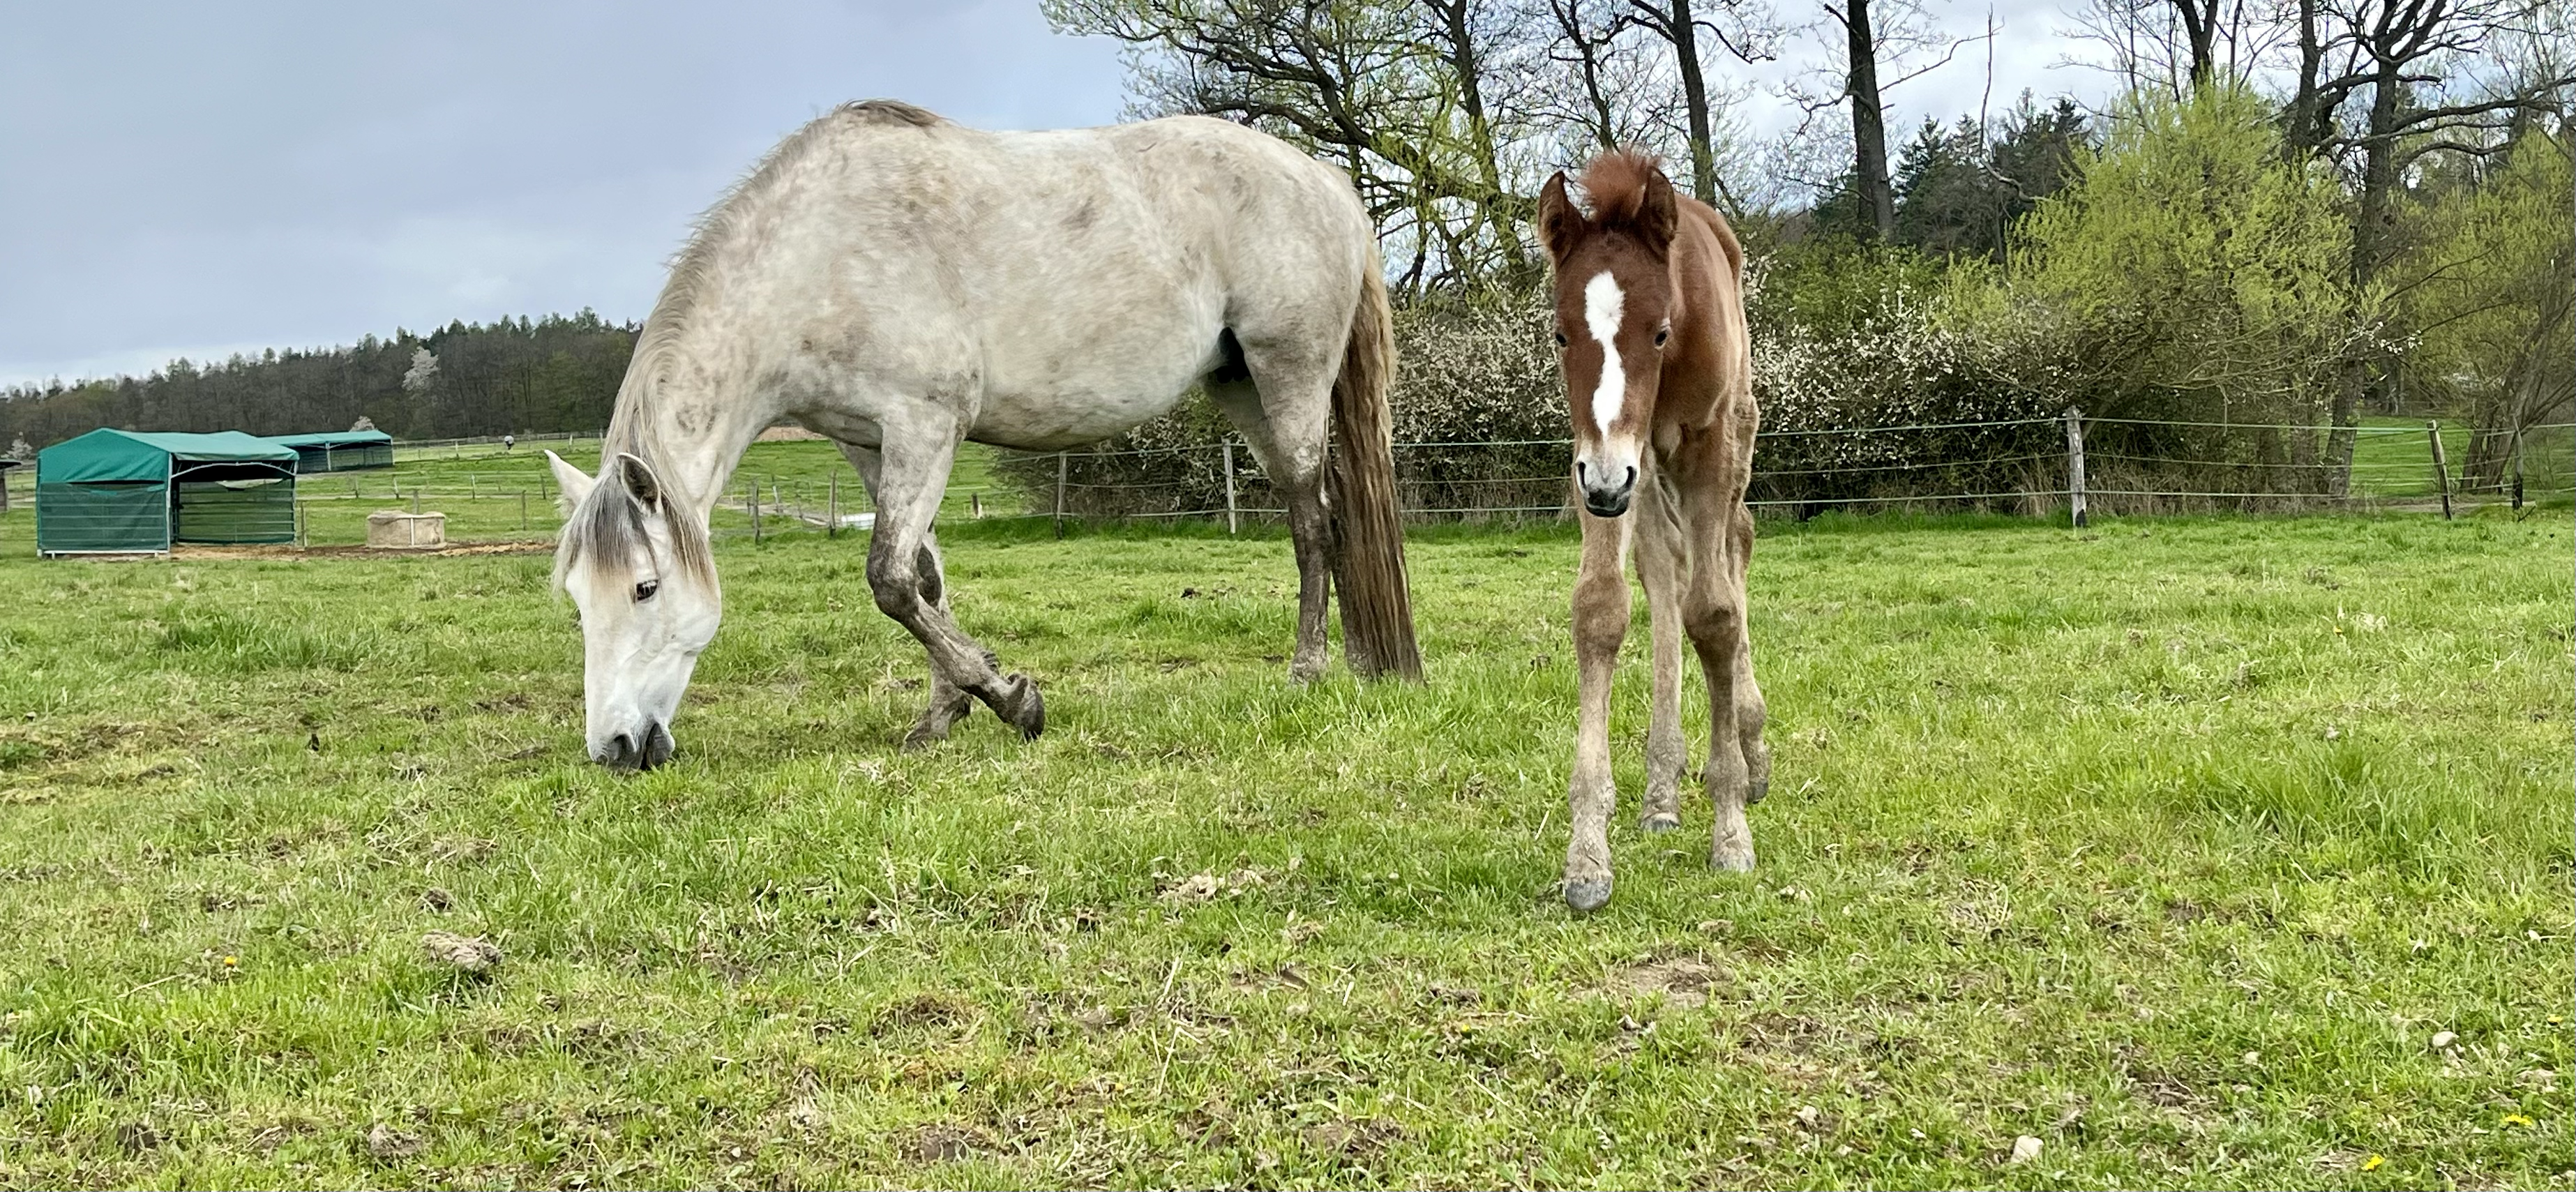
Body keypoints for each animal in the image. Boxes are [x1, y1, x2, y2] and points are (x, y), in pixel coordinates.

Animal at [551, 103, 1422, 772]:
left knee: (1313, 520)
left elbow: (890, 579)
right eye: (576, 600)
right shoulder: (869, 443)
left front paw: (1013, 700)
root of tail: (1326, 180)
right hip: (1240, 385)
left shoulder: (925, 425)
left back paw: (1307, 670)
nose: (614, 748)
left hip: (1290, 375)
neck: (820, 257)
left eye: (644, 587)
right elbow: (925, 578)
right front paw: (943, 715)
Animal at [1525, 149, 1772, 916]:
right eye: (1561, 335)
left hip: (1728, 436)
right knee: (1665, 576)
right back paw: (1662, 788)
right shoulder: (1595, 458)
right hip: (1644, 472)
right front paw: (1587, 856)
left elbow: (1716, 615)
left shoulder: (1704, 445)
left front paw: (1731, 831)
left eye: (1659, 331)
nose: (1607, 484)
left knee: (1735, 545)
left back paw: (1753, 750)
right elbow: (1603, 611)